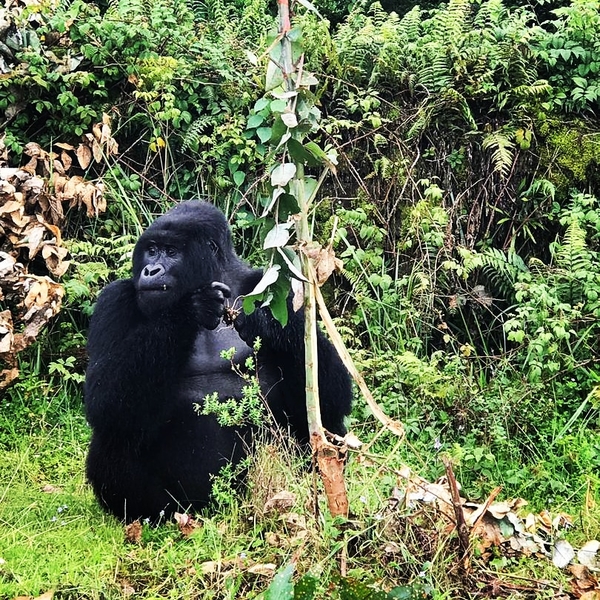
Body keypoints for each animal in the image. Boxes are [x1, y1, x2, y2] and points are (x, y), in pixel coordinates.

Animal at [83, 200, 352, 520]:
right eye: (151, 249)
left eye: (171, 252)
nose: (150, 269)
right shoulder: (113, 299)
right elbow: (105, 400)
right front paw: (189, 310)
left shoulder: (280, 290)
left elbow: (329, 399)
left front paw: (270, 324)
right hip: (179, 506)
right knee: (114, 434)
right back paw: (145, 514)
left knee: (327, 428)